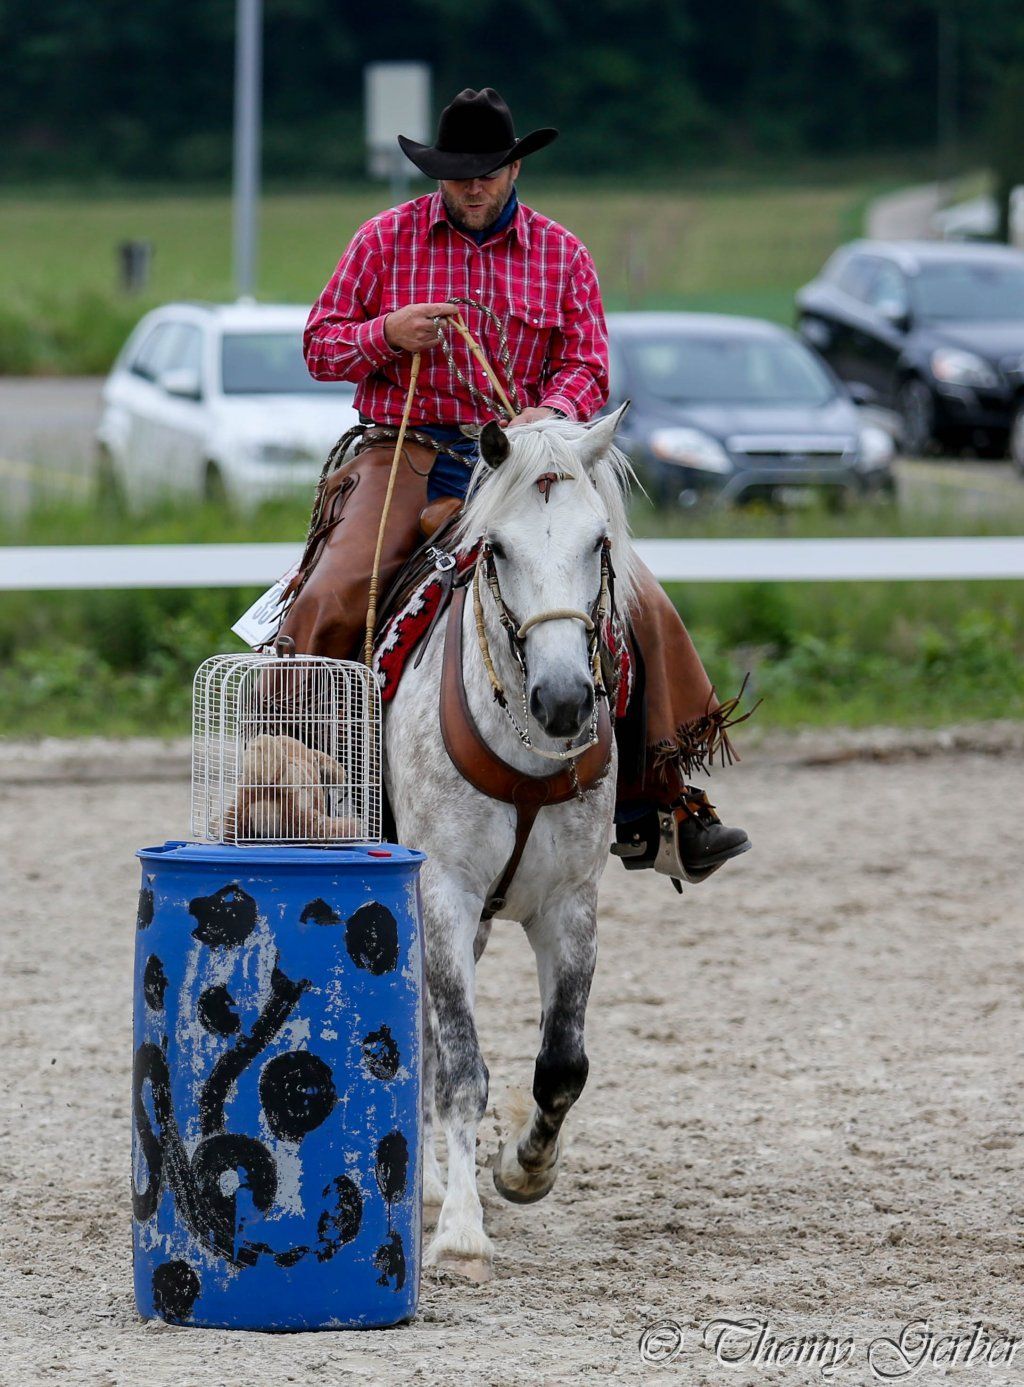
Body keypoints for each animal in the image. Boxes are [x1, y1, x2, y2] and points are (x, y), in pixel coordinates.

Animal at [383, 403, 638, 1282]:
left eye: (599, 541)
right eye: (497, 548)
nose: (563, 700)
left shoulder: (570, 905)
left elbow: (562, 1064)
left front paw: (525, 1168)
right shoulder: (444, 893)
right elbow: (463, 1068)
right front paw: (461, 1228)